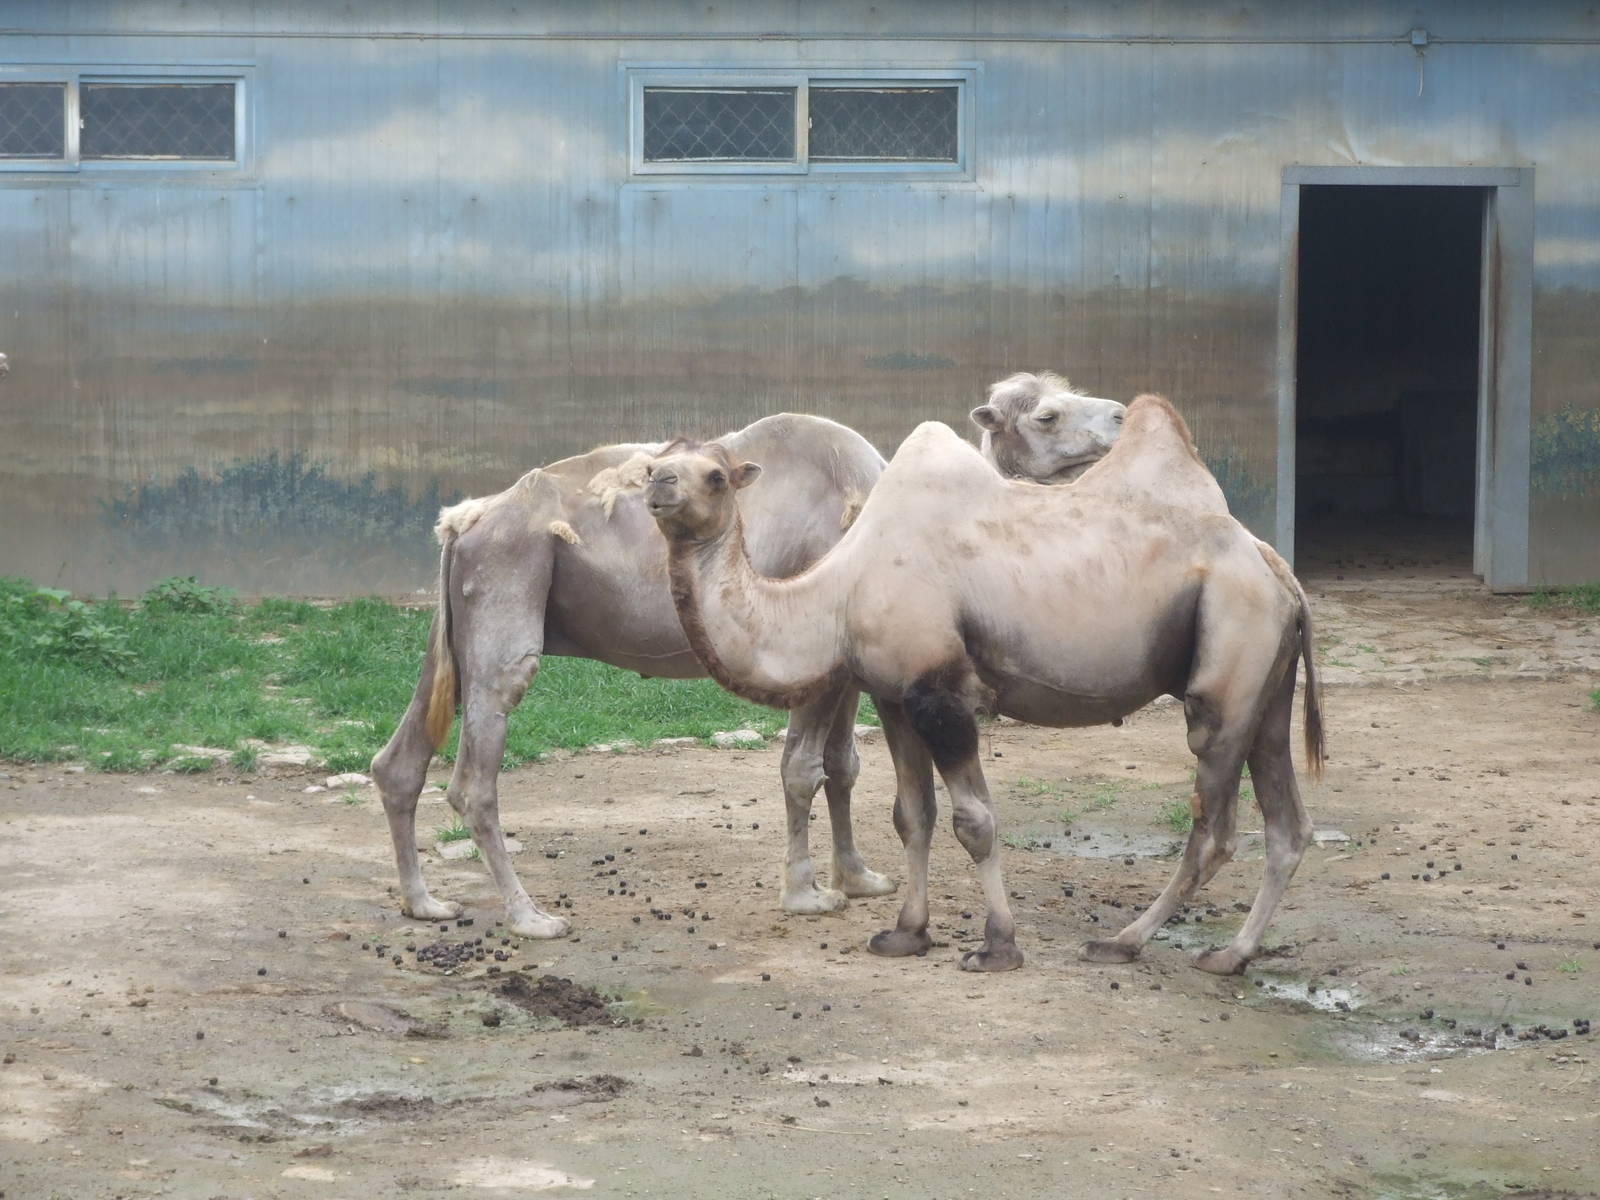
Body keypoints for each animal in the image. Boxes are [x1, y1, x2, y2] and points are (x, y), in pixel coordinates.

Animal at [370, 413, 897, 941]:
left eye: (717, 476)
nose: (660, 484)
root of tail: (463, 523)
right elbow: (802, 769)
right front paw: (806, 896)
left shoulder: (841, 665)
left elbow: (843, 764)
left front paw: (860, 878)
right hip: (506, 581)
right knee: (476, 775)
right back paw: (530, 917)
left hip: (456, 627)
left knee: (400, 759)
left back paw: (424, 903)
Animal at [643, 395, 1324, 974]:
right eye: (655, 463)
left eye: (716, 475)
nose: (657, 483)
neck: (839, 589)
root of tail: (1276, 567)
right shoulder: (895, 694)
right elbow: (911, 814)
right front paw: (906, 933)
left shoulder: (942, 693)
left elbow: (974, 820)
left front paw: (997, 947)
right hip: (1268, 685)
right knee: (1287, 824)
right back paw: (1230, 955)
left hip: (1229, 665)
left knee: (1214, 827)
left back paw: (1121, 942)